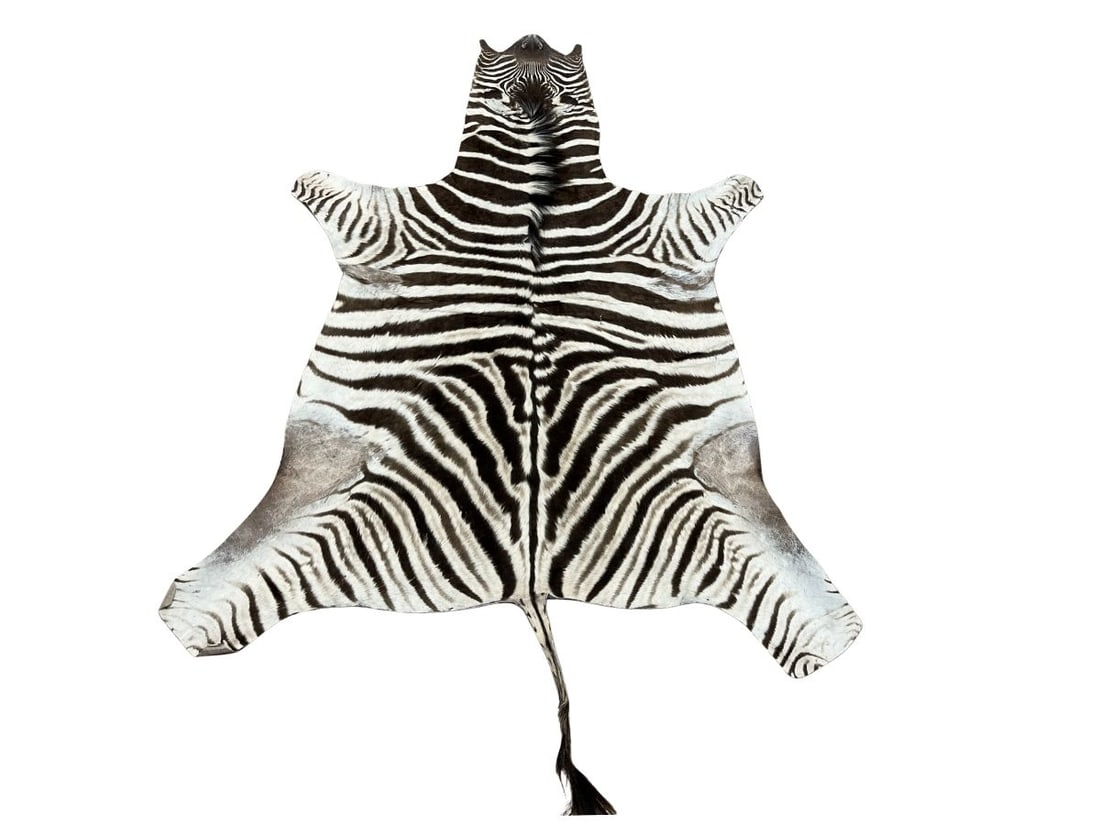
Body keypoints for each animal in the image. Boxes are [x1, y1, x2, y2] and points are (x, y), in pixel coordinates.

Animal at [159, 34, 862, 816]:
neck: (534, 165)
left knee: (826, 633)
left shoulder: (661, 227)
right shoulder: (398, 221)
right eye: (502, 67)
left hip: (735, 513)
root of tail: (529, 582)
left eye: (561, 65)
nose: (531, 36)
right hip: (313, 508)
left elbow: (734, 190)